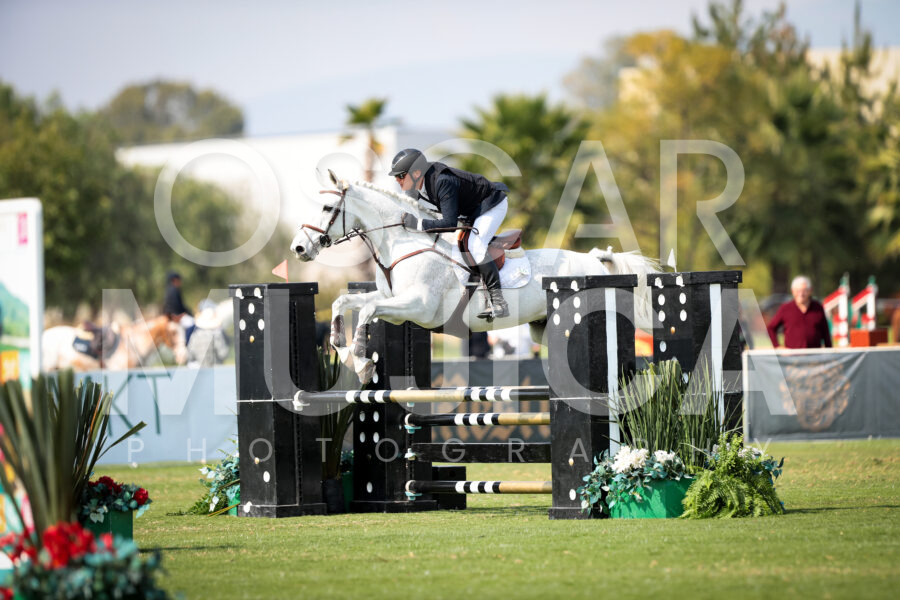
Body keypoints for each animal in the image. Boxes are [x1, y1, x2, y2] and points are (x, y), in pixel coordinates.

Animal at [290, 171, 658, 383]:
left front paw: (362, 361)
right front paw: (342, 349)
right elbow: (345, 301)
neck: (402, 243)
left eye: (326, 209)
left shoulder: (417, 307)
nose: (298, 248)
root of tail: (594, 259)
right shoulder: (391, 301)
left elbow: (366, 310)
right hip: (542, 329)